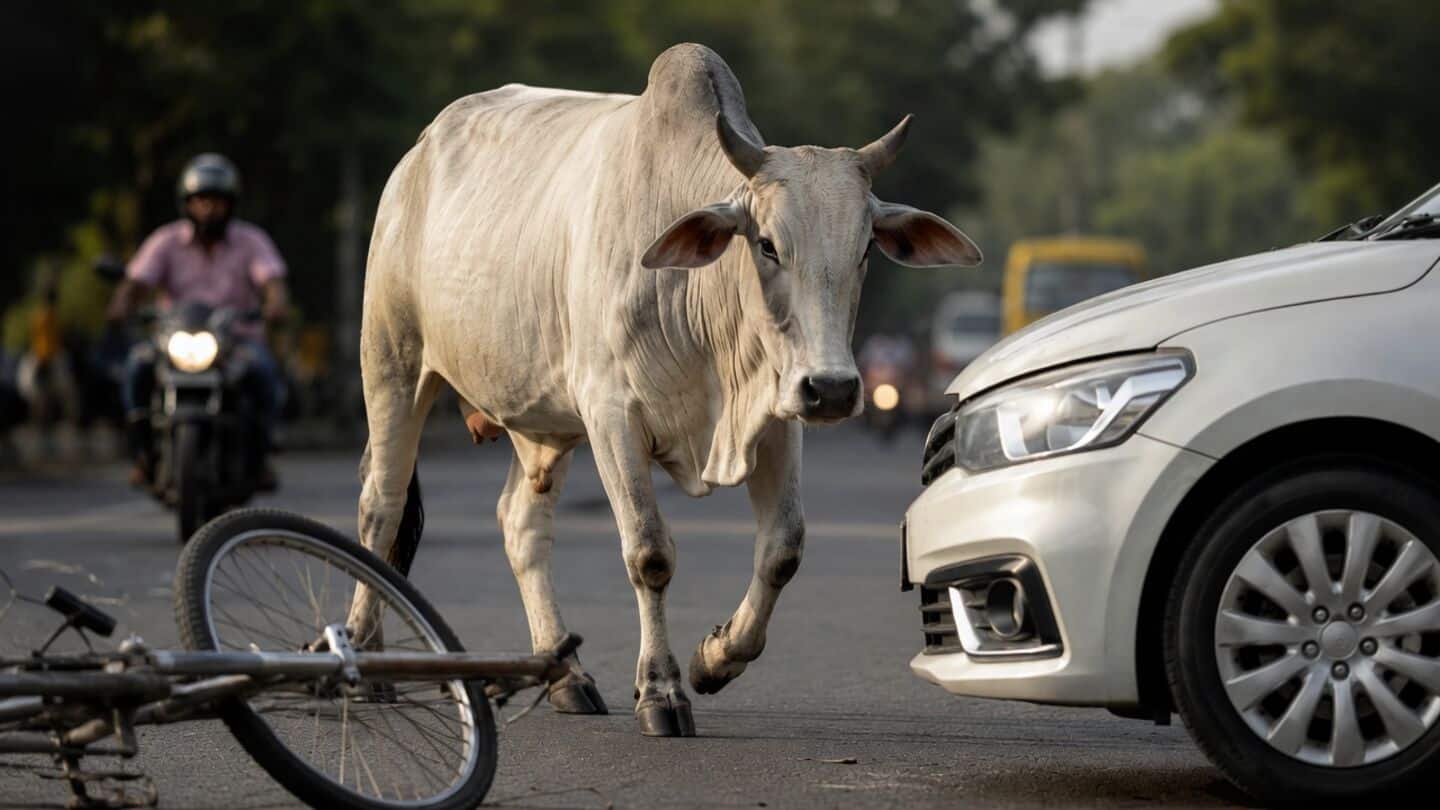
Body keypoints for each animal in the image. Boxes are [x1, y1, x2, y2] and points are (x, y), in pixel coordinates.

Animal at [351, 43, 980, 737]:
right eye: (766, 244)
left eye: (866, 248)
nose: (834, 390)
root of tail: (418, 153)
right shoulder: (611, 415)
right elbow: (649, 552)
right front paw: (661, 690)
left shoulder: (777, 416)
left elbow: (783, 548)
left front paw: (715, 658)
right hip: (393, 364)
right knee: (381, 509)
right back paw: (364, 664)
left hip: (541, 424)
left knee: (520, 524)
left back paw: (566, 675)